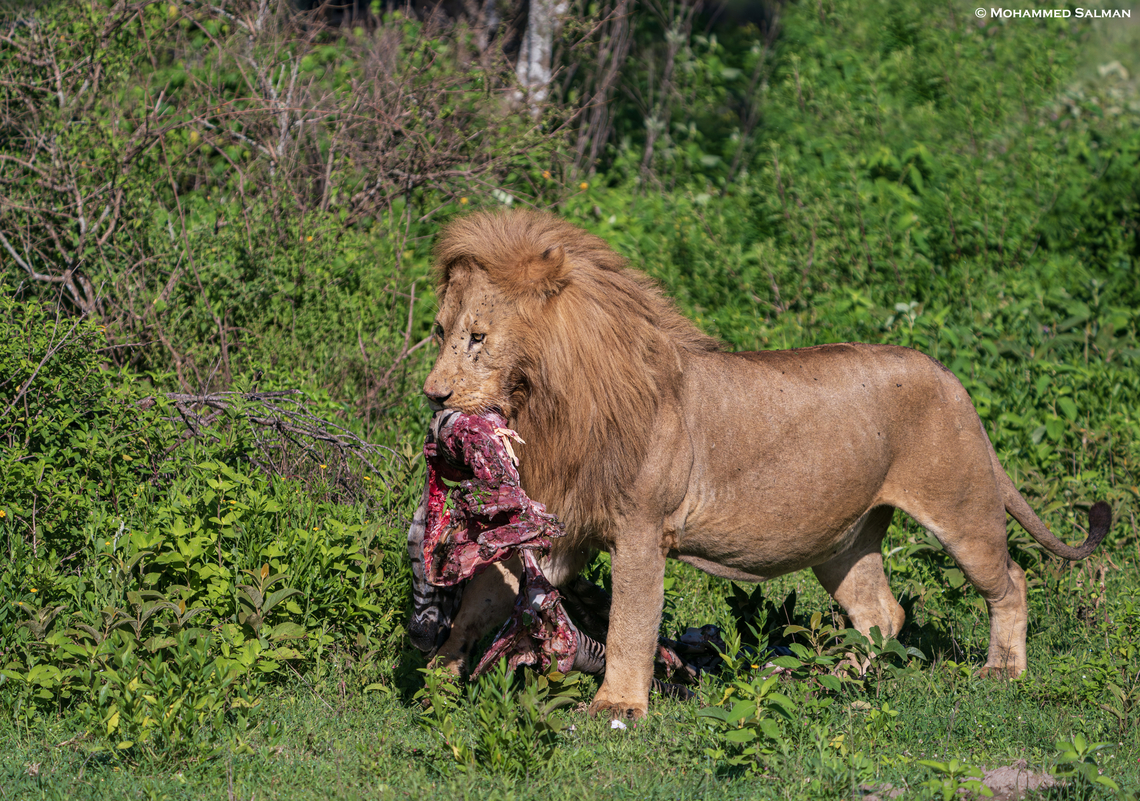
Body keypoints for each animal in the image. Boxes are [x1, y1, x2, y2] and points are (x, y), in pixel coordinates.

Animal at [414, 208, 1111, 721]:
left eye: (477, 337)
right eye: (441, 331)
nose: (433, 395)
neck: (552, 406)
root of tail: (949, 376)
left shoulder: (642, 529)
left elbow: (630, 623)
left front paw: (617, 709)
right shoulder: (565, 529)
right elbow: (483, 600)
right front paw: (436, 679)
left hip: (960, 507)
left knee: (1010, 581)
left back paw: (1002, 672)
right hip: (845, 541)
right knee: (882, 615)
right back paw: (833, 680)